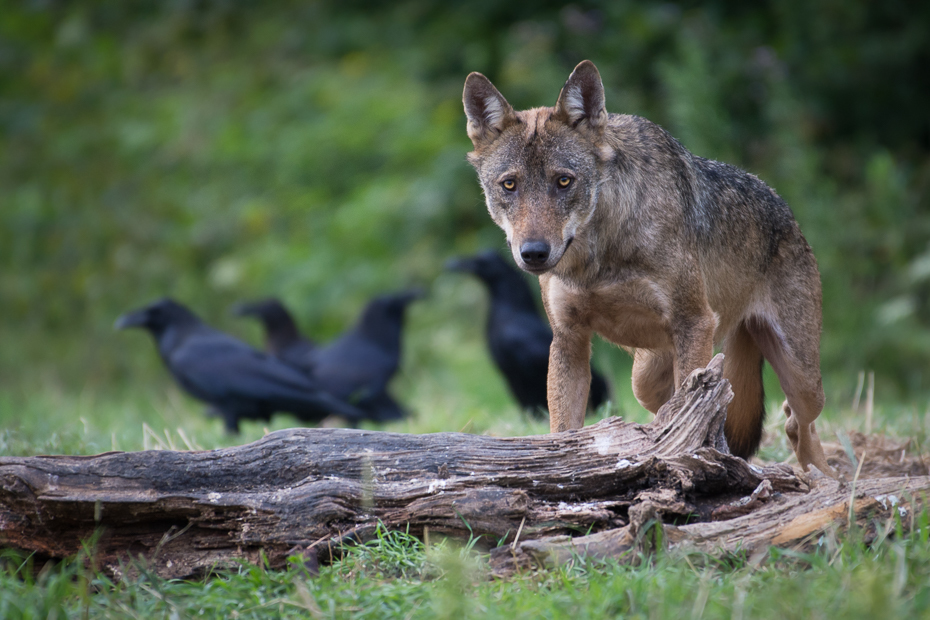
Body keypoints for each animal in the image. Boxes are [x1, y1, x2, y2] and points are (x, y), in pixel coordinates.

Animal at [460, 59, 832, 474]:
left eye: (564, 181)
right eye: (509, 185)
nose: (534, 253)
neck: (599, 254)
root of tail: (787, 212)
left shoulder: (695, 323)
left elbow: (691, 420)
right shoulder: (569, 340)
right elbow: (562, 429)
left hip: (801, 378)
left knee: (798, 422)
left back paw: (825, 479)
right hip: (645, 380)